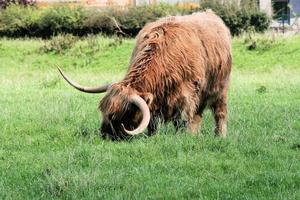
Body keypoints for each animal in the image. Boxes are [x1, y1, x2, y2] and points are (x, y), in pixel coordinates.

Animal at [58, 10, 232, 140]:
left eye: (119, 115)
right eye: (104, 112)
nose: (105, 135)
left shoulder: (187, 94)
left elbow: (183, 119)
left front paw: (184, 136)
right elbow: (153, 121)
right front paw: (152, 136)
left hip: (220, 89)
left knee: (220, 112)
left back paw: (220, 135)